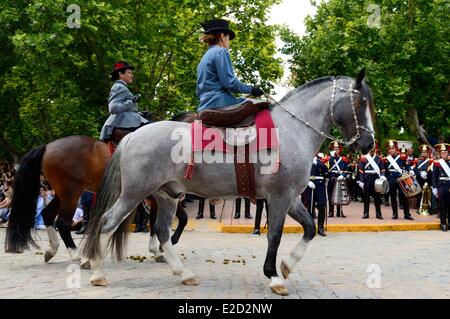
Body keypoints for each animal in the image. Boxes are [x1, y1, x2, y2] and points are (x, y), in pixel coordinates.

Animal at [5, 135, 188, 262]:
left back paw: (52, 250)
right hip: (71, 194)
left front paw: (158, 249)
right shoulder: (163, 196)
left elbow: (159, 220)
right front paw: (166, 244)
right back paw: (77, 256)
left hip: (62, 194)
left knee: (47, 214)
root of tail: (48, 146)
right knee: (62, 223)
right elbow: (178, 218)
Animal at [83, 70, 376, 298]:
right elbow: (275, 234)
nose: (369, 144)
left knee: (163, 230)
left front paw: (287, 265)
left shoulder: (292, 198)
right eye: (362, 101)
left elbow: (310, 228)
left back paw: (183, 273)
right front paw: (274, 276)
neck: (291, 130)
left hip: (167, 196)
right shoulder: (279, 197)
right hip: (134, 193)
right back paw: (97, 271)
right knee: (108, 221)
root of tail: (132, 136)